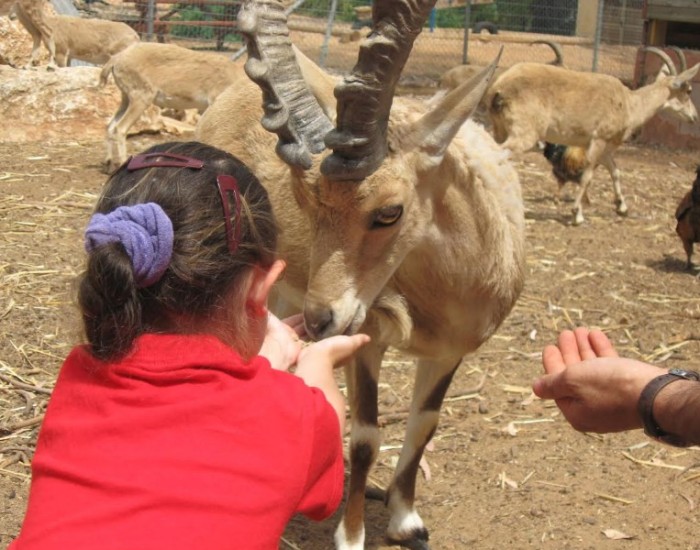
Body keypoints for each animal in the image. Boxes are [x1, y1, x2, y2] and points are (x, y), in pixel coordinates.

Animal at [99, 42, 243, 172]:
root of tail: (116, 59)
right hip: (140, 97)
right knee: (120, 128)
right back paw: (122, 163)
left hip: (126, 97)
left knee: (110, 125)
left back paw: (108, 164)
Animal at [194, 2, 524, 548]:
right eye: (305, 200)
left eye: (389, 211)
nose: (323, 319)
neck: (443, 299)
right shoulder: (368, 338)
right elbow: (367, 436)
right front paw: (351, 537)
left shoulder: (449, 352)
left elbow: (425, 423)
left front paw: (406, 519)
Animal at [486, 46, 700, 225]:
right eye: (689, 90)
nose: (694, 117)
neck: (629, 104)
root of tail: (499, 89)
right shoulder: (598, 140)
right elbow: (587, 175)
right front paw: (577, 215)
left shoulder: (605, 148)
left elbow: (615, 170)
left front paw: (622, 207)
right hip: (524, 134)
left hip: (500, 129)